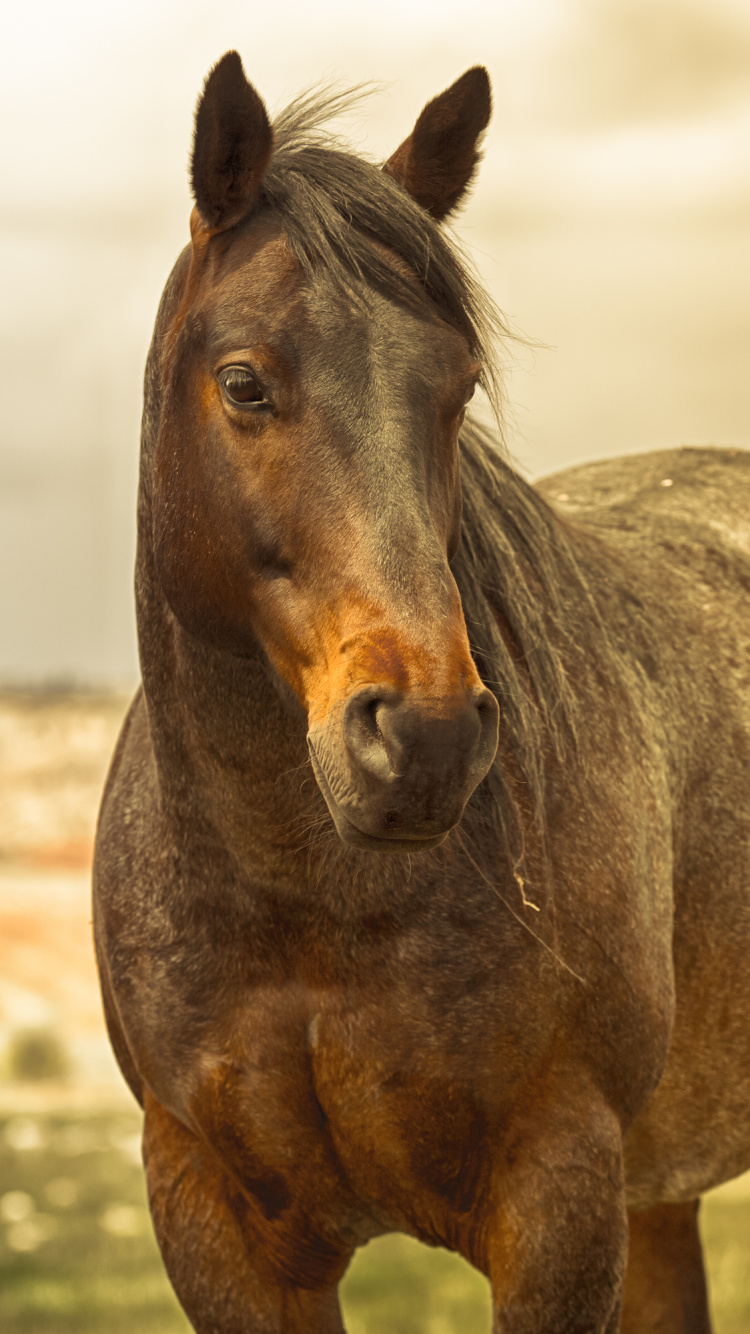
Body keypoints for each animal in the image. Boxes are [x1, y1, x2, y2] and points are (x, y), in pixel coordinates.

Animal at [93, 50, 750, 1333]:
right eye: (243, 382)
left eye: (457, 386)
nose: (426, 738)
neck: (304, 903)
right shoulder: (216, 1218)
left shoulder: (558, 1202)